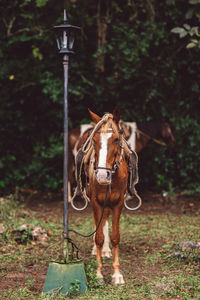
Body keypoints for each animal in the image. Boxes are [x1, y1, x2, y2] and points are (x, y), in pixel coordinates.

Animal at [77, 108, 135, 284]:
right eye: (94, 140)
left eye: (116, 139)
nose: (102, 175)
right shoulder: (96, 202)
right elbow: (99, 236)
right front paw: (99, 274)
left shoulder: (118, 203)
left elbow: (115, 236)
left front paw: (117, 274)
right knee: (98, 224)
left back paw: (106, 250)